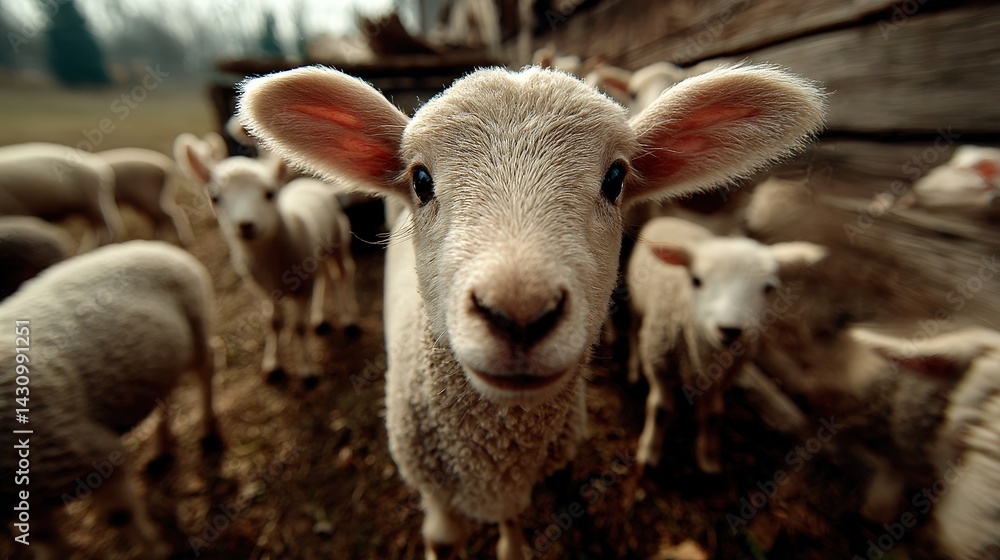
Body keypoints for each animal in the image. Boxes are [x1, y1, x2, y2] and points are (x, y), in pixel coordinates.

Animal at [0, 240, 221, 560]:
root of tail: (155, 245)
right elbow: (46, 542)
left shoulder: (94, 455)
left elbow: (119, 516)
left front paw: (157, 551)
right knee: (164, 392)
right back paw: (160, 447)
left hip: (197, 325)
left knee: (207, 366)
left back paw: (208, 429)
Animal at [178, 146, 360, 386]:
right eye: (214, 197)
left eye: (270, 194)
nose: (245, 225)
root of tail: (306, 182)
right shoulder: (266, 290)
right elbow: (273, 323)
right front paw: (273, 365)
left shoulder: (301, 288)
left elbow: (298, 327)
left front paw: (307, 370)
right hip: (316, 254)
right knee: (324, 276)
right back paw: (319, 320)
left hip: (339, 239)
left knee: (342, 274)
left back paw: (349, 319)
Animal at [627, 217, 825, 473]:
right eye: (696, 280)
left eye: (768, 288)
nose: (730, 329)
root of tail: (671, 217)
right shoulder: (659, 364)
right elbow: (661, 410)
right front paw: (650, 451)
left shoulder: (721, 379)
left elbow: (713, 415)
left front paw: (708, 458)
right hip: (635, 302)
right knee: (633, 329)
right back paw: (633, 367)